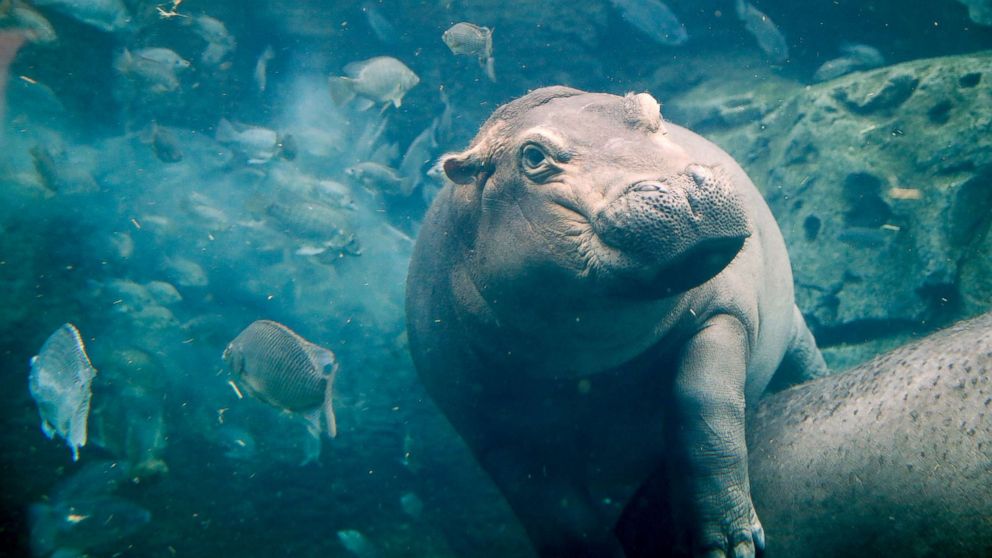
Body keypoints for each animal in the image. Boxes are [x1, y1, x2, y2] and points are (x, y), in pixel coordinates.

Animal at [404, 85, 828, 556]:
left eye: (652, 110)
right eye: (532, 156)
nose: (680, 189)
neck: (592, 356)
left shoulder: (723, 313)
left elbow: (704, 410)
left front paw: (730, 544)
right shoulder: (492, 433)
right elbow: (562, 516)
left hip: (793, 327)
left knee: (804, 360)